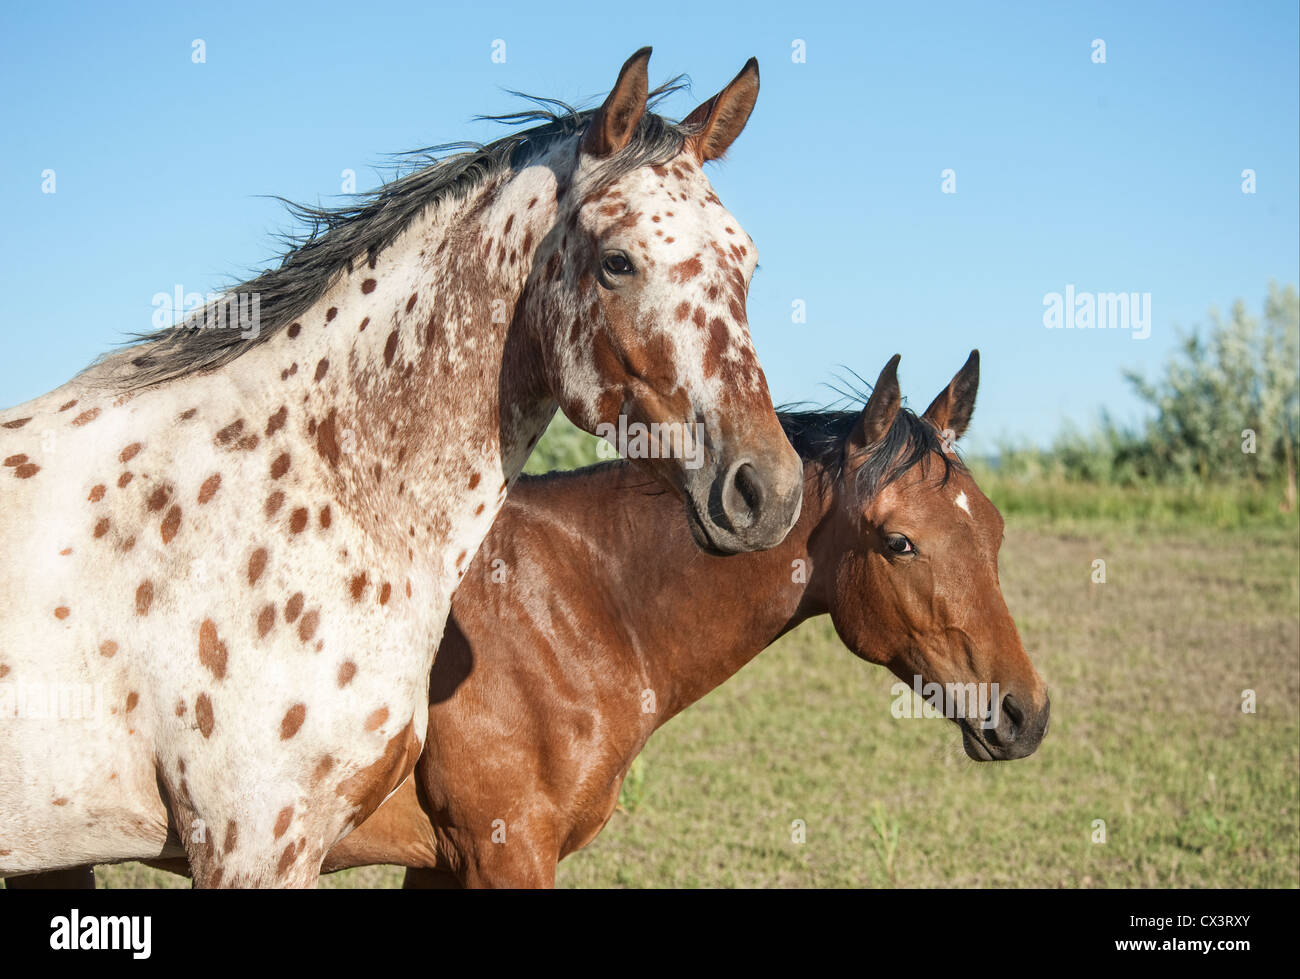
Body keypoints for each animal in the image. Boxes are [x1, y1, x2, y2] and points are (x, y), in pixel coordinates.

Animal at [54, 351, 1049, 888]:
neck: (578, 602)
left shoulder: (441, 862)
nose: (1024, 713)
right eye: (899, 542)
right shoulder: (508, 854)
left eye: (997, 532)